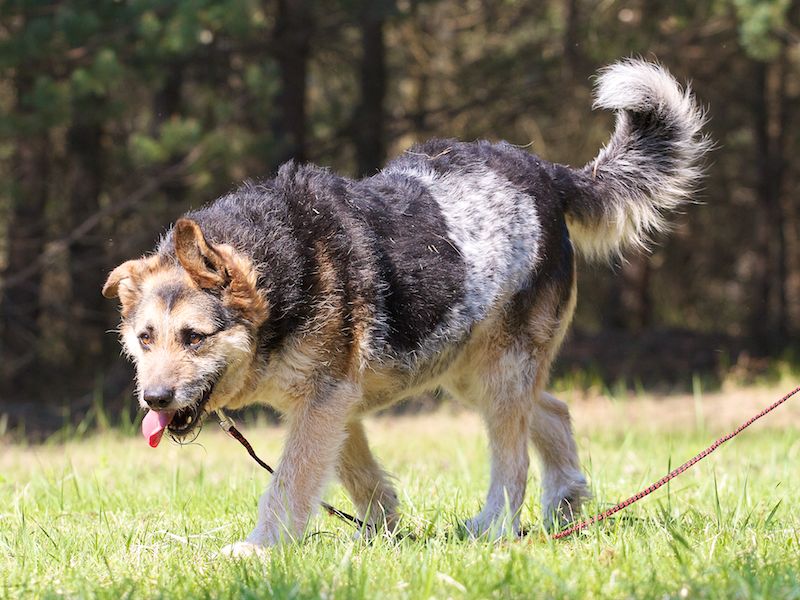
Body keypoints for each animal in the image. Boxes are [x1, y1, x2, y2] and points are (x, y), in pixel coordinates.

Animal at [103, 60, 708, 554]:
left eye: (194, 336)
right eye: (144, 339)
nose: (153, 399)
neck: (280, 268)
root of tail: (548, 175)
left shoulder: (324, 401)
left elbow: (288, 482)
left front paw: (258, 550)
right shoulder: (334, 404)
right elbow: (359, 477)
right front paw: (383, 534)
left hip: (498, 373)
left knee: (512, 465)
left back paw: (495, 529)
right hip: (472, 370)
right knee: (554, 412)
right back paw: (564, 506)